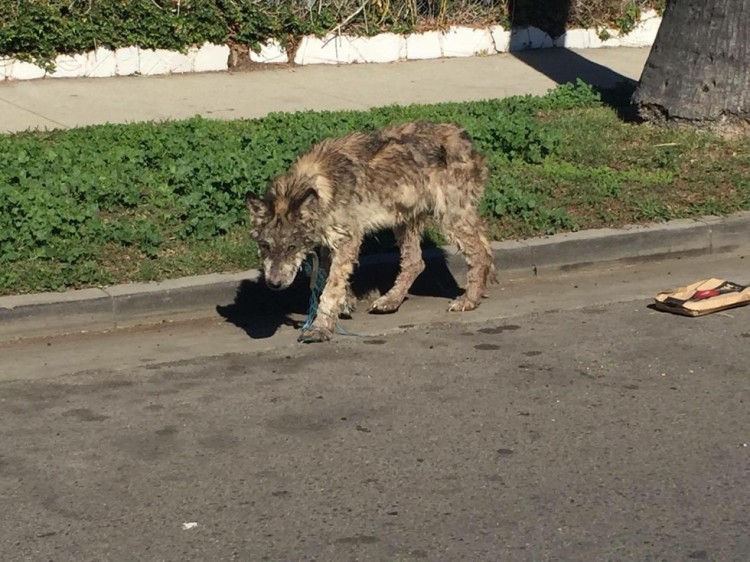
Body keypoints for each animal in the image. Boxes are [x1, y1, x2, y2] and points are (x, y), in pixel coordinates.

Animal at [248, 121, 500, 342]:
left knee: (479, 254)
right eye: (265, 246)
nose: (274, 284)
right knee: (416, 262)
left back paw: (469, 300)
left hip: (450, 217)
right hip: (405, 219)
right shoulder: (329, 243)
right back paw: (390, 301)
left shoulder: (348, 239)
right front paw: (345, 302)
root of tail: (463, 137)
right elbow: (325, 278)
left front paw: (320, 328)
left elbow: (331, 288)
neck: (317, 187)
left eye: (291, 247)